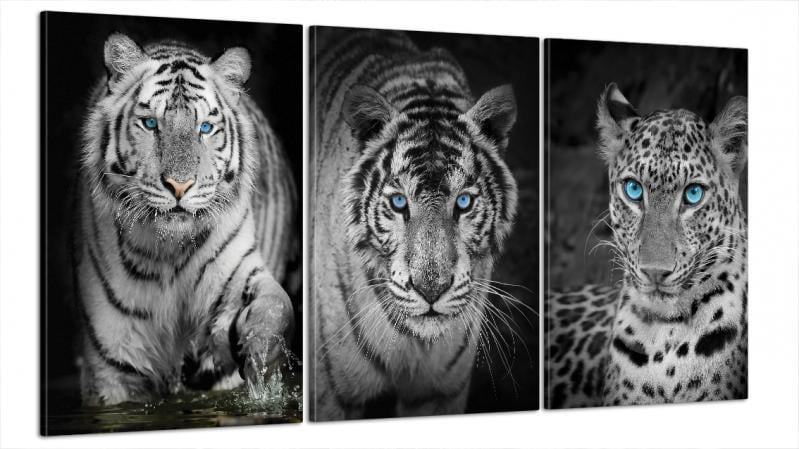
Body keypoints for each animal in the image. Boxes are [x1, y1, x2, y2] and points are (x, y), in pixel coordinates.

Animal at [72, 33, 297, 405]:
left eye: (205, 128)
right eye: (151, 124)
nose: (179, 185)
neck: (168, 252)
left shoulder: (239, 270)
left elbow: (277, 306)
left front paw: (260, 352)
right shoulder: (112, 367)